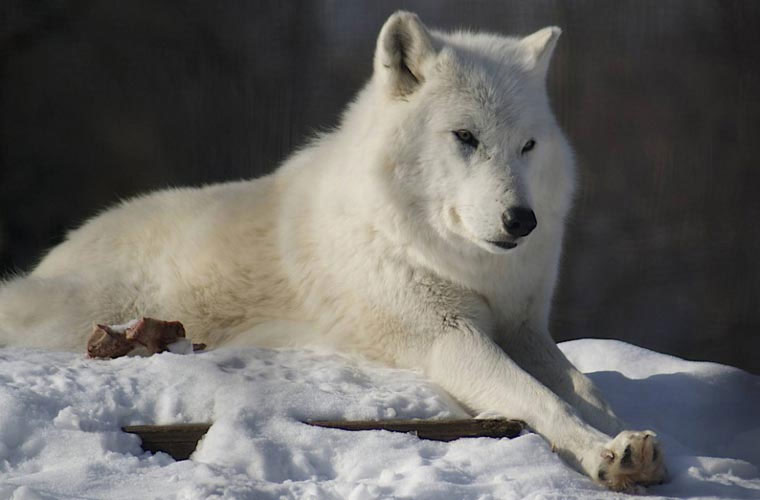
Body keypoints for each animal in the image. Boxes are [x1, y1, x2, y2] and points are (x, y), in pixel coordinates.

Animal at [0, 12, 666, 491]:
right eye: (465, 137)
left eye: (528, 145)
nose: (521, 220)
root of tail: (50, 262)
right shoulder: (445, 335)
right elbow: (541, 400)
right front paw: (604, 455)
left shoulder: (523, 328)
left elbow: (588, 391)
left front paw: (644, 446)